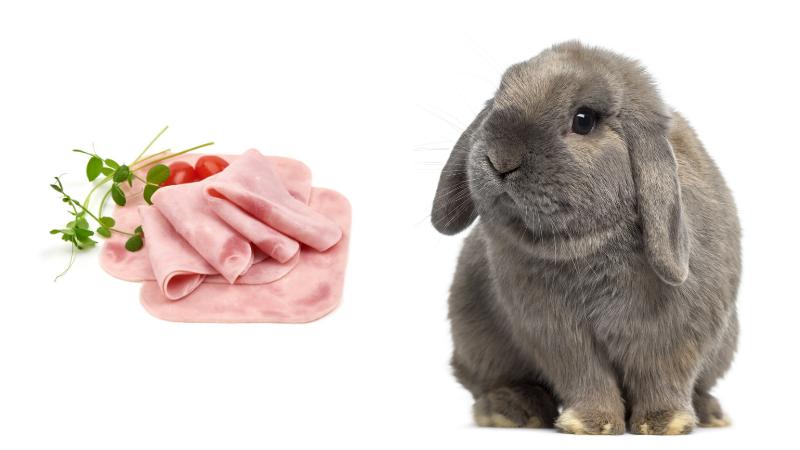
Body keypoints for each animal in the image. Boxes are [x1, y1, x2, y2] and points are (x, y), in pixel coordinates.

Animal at [431, 41, 740, 435]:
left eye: (583, 119)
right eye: (499, 97)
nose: (500, 159)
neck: (588, 246)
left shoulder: (677, 331)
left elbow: (664, 374)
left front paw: (664, 423)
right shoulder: (556, 332)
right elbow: (583, 375)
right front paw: (591, 424)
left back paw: (709, 413)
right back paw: (509, 410)